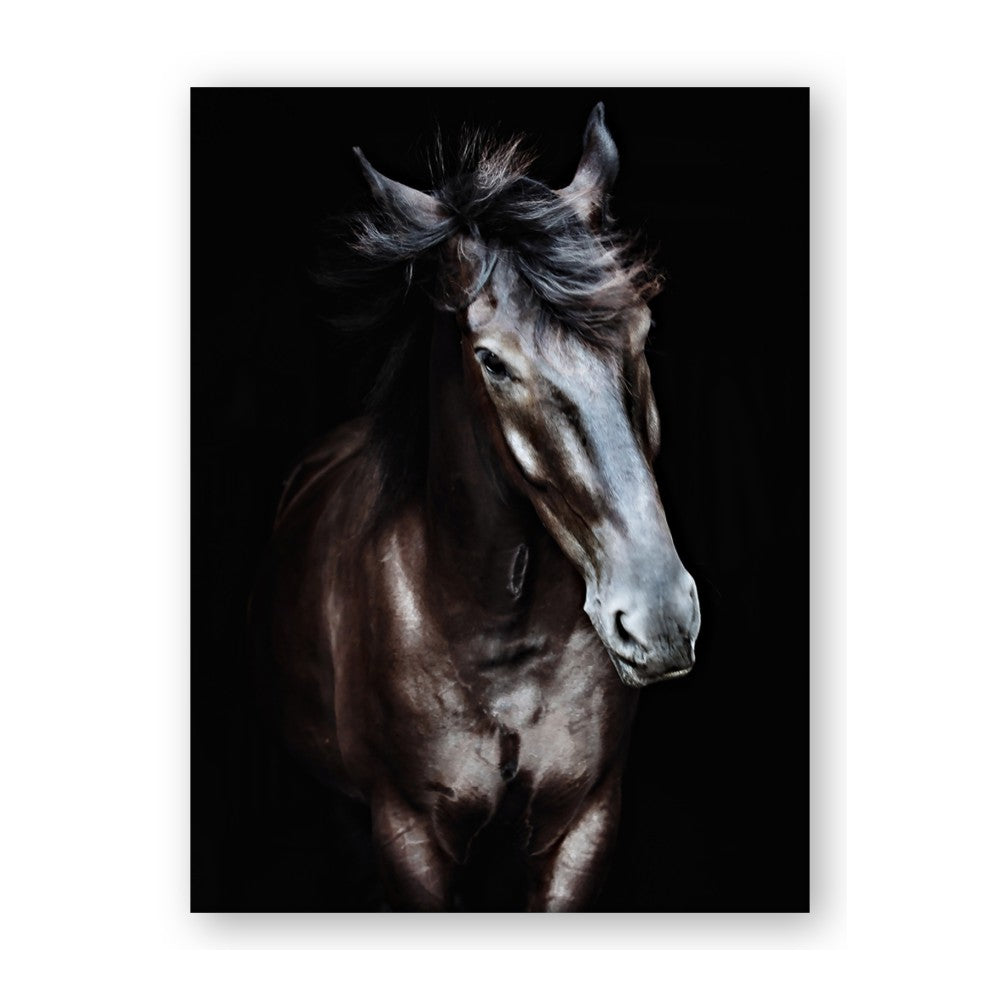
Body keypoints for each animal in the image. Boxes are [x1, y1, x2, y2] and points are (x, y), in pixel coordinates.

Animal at [251, 104, 701, 911]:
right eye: (491, 359)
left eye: (643, 328)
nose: (658, 618)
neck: (496, 635)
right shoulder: (409, 838)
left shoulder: (582, 825)